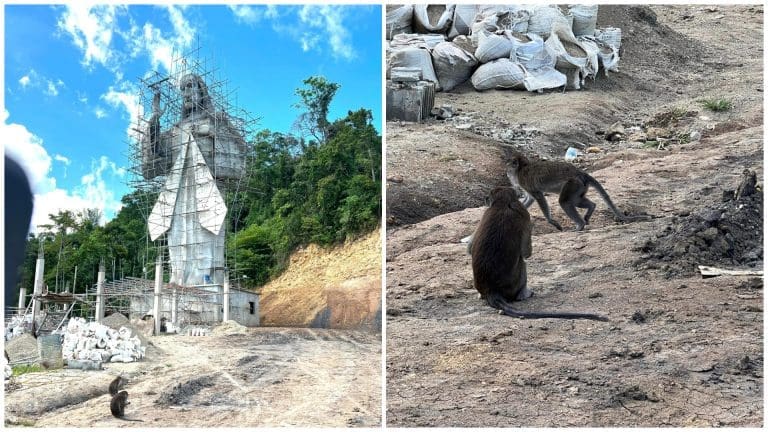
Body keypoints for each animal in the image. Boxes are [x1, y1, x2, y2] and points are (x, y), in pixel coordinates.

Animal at [470, 187, 608, 321]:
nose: (485, 199)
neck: (503, 204)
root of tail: (491, 291)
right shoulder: (524, 214)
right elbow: (526, 253)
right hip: (514, 284)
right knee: (522, 261)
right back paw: (524, 294)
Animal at [506, 152, 651, 231]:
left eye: (508, 166)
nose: (507, 174)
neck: (521, 168)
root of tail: (581, 173)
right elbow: (530, 198)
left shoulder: (525, 181)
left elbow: (539, 197)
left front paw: (551, 221)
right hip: (580, 186)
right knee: (576, 200)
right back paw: (590, 209)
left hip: (573, 184)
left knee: (564, 201)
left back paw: (580, 225)